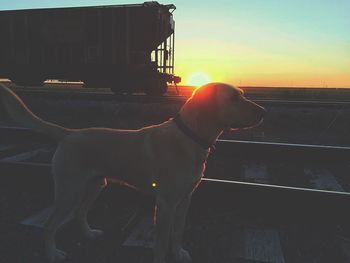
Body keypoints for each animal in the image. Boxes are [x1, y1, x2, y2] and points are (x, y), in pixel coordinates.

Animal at [0, 82, 266, 262]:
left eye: (242, 94)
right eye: (233, 98)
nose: (263, 111)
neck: (190, 138)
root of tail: (69, 133)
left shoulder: (185, 200)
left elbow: (178, 231)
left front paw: (179, 253)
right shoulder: (166, 203)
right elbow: (161, 242)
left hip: (95, 186)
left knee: (80, 213)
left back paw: (89, 234)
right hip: (69, 191)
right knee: (50, 225)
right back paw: (52, 254)